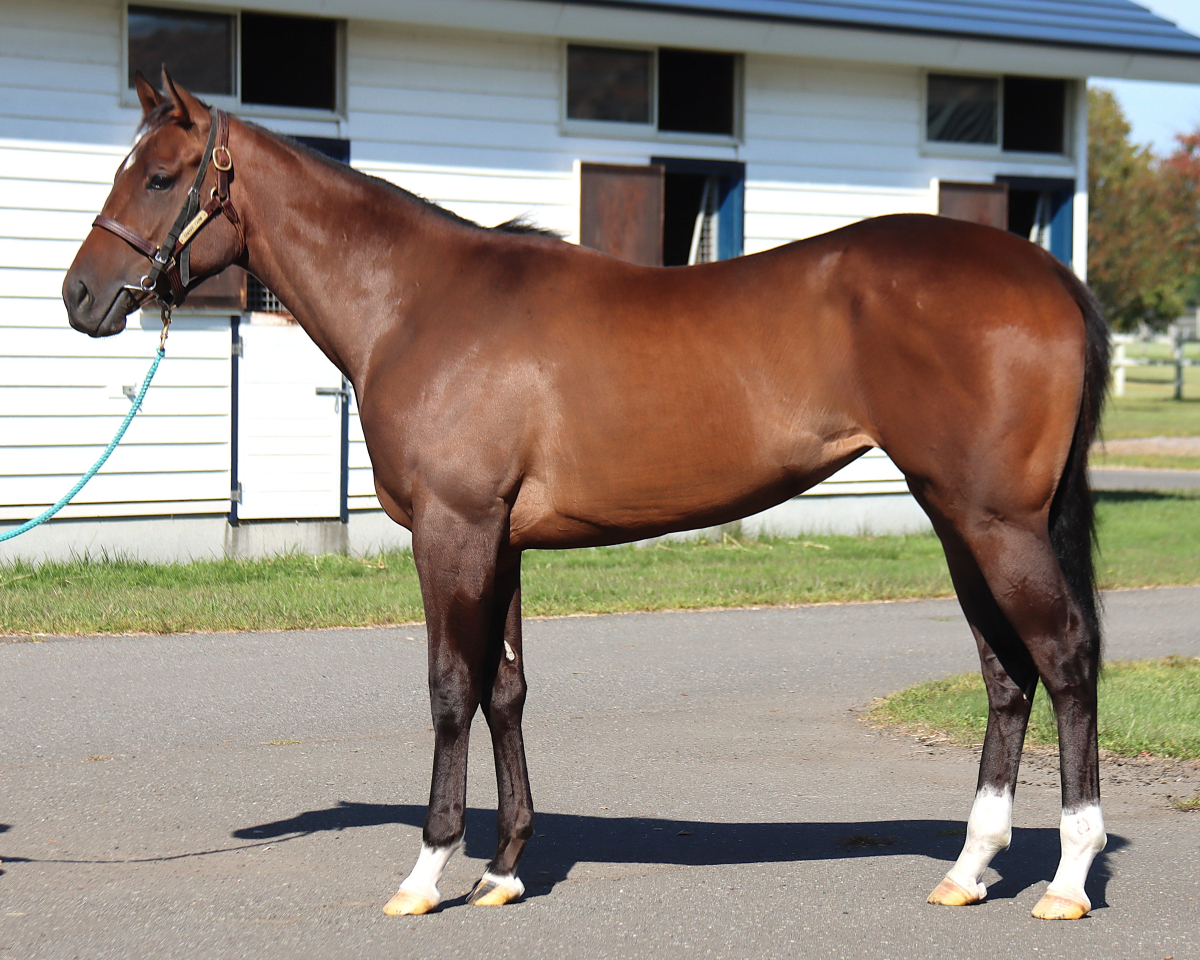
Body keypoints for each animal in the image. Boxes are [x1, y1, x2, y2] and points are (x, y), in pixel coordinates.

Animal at [63, 70, 1109, 921]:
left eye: (159, 178)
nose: (79, 297)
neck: (416, 303)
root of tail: (1049, 275)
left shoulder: (454, 532)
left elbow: (451, 690)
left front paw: (428, 871)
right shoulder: (502, 541)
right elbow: (508, 691)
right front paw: (501, 871)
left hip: (996, 523)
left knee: (1063, 659)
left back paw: (1066, 878)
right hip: (956, 519)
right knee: (1006, 674)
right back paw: (970, 868)